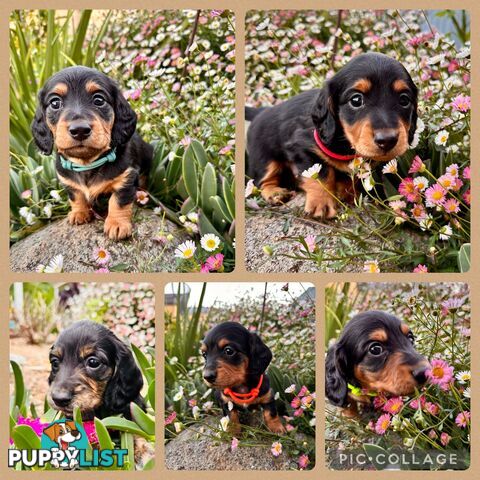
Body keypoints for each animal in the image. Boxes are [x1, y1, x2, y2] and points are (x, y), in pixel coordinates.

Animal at [32, 66, 152, 240]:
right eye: (55, 103)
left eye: (99, 100)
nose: (79, 130)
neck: (87, 163)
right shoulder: (68, 181)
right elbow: (76, 196)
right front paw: (79, 213)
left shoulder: (126, 177)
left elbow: (118, 200)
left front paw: (117, 223)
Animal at [246, 52, 418, 218]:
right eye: (356, 100)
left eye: (404, 100)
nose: (387, 140)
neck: (345, 144)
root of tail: (262, 110)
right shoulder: (301, 147)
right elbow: (321, 174)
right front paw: (321, 203)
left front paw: (349, 194)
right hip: (264, 158)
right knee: (262, 181)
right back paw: (275, 192)